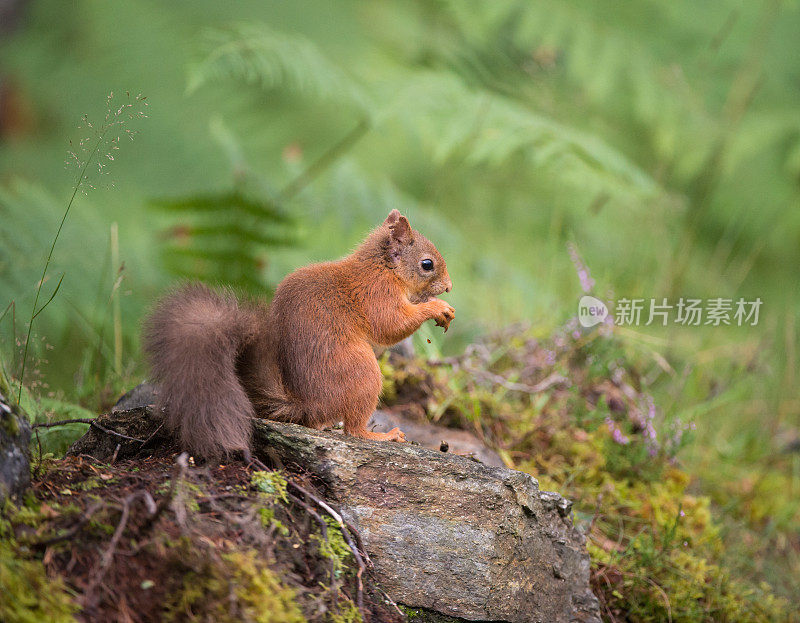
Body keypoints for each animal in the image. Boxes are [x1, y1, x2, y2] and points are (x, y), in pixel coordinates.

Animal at [144, 212, 454, 460]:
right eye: (427, 264)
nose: (449, 287)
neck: (383, 268)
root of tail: (307, 404)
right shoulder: (376, 293)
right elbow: (390, 325)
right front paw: (437, 308)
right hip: (363, 374)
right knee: (353, 430)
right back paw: (382, 435)